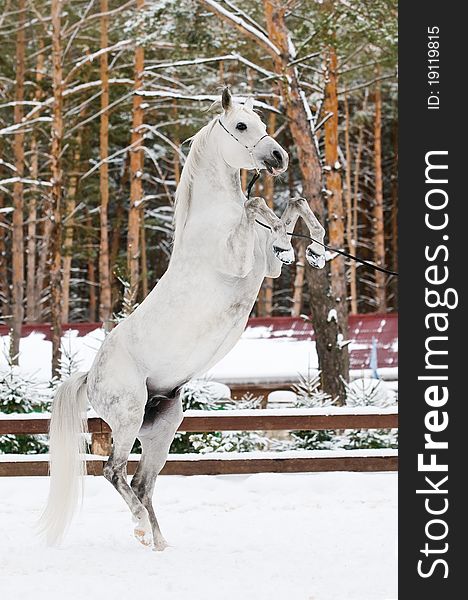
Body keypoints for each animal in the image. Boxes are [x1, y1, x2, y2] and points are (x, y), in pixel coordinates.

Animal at [40, 86, 326, 552]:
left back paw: (158, 543)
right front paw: (287, 236)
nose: (279, 157)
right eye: (242, 126)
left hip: (162, 425)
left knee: (142, 482)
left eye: (262, 123)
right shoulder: (240, 262)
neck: (215, 221)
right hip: (127, 417)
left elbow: (293, 209)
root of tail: (90, 376)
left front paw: (313, 249)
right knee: (113, 471)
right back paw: (141, 530)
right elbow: (259, 204)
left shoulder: (265, 269)